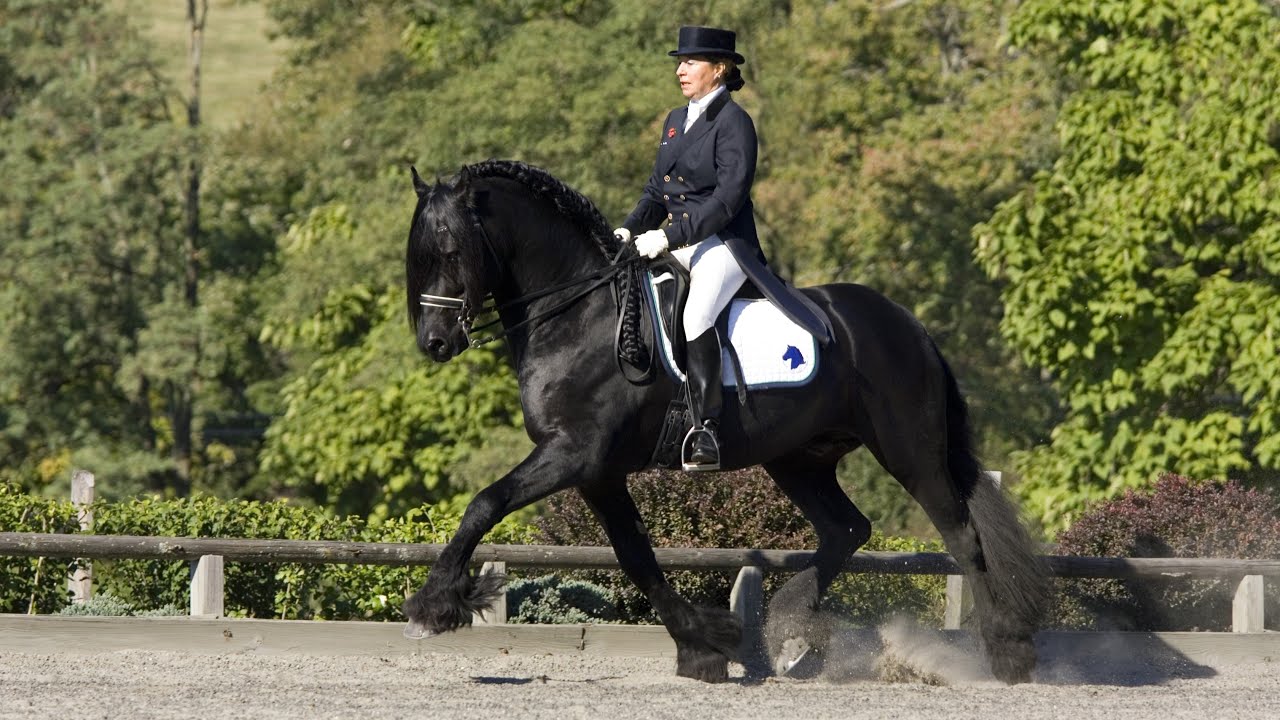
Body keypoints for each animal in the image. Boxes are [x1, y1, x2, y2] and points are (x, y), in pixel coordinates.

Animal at [401, 158, 1049, 684]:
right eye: (419, 255)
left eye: (452, 251)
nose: (434, 342)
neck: (580, 316)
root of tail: (909, 325)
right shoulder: (597, 473)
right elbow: (636, 558)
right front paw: (704, 646)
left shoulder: (574, 454)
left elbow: (486, 502)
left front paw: (434, 606)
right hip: (799, 458)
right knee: (847, 530)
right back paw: (791, 632)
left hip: (908, 450)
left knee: (961, 536)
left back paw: (1007, 654)